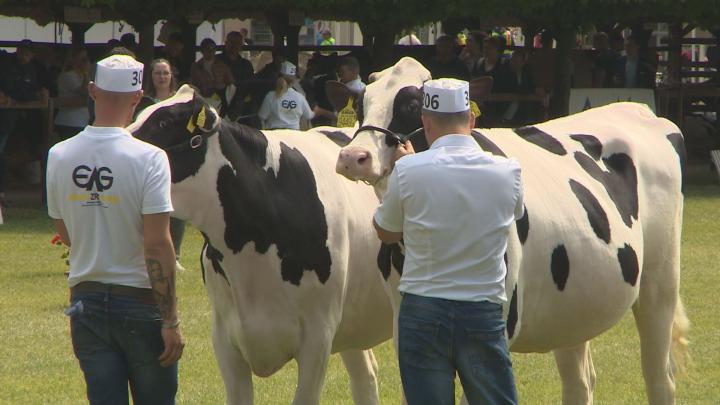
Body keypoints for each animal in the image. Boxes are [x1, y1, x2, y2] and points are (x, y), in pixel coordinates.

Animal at [334, 57, 688, 404]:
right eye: (363, 105)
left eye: (409, 105)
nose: (353, 157)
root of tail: (638, 109)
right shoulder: (404, 324)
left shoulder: (496, 325)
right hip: (576, 302)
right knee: (580, 380)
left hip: (660, 282)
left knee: (661, 375)